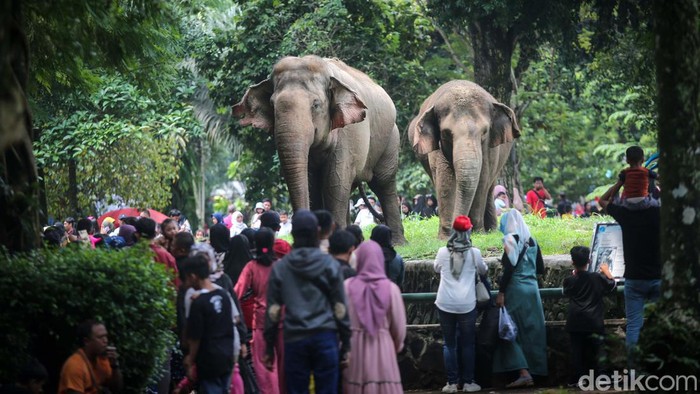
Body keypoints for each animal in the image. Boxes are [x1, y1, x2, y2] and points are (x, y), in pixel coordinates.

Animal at [232, 54, 404, 243]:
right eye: (272, 104)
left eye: (315, 105)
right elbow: (312, 183)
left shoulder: (348, 133)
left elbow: (335, 181)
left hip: (391, 138)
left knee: (383, 182)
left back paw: (397, 242)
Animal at [404, 80, 520, 237]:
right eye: (446, 133)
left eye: (484, 132)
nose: (459, 226)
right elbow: (445, 180)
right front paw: (445, 236)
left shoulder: (490, 148)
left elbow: (482, 178)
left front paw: (478, 233)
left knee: (489, 186)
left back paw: (490, 230)